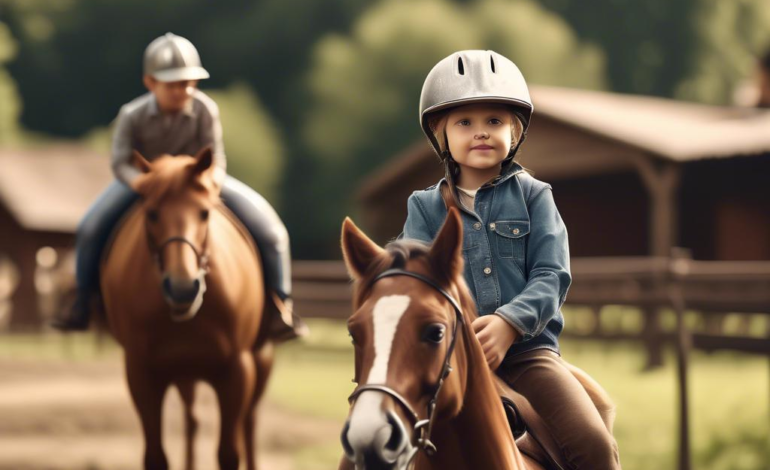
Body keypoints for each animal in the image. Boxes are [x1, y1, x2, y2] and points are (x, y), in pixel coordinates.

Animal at [100, 148, 272, 470]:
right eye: (152, 213)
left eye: (204, 212)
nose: (182, 288)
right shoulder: (141, 373)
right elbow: (156, 456)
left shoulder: (237, 370)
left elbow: (229, 453)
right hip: (185, 376)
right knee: (193, 421)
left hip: (261, 361)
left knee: (250, 423)